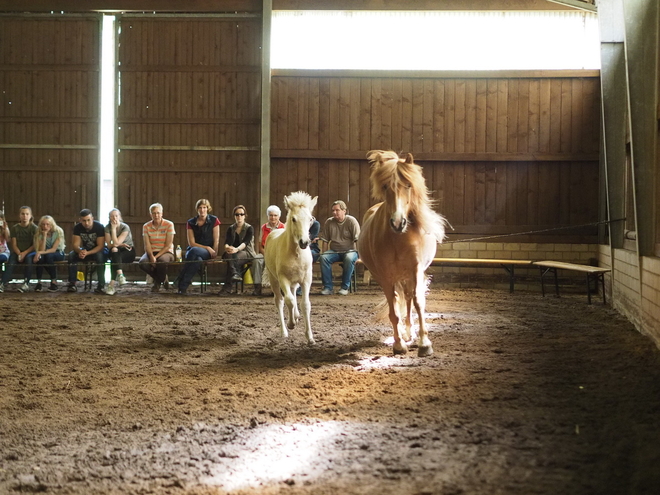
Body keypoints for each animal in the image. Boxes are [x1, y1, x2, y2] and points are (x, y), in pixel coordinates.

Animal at [262, 192, 318, 342]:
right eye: (293, 219)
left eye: (310, 219)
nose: (304, 242)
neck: (296, 253)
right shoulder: (283, 279)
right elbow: (289, 301)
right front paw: (291, 324)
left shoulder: (306, 279)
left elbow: (306, 304)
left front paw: (310, 337)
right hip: (274, 280)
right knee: (280, 301)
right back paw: (284, 331)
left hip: (294, 281)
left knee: (292, 293)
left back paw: (297, 316)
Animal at [358, 151, 446, 356]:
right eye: (385, 186)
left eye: (408, 185)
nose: (398, 223)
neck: (398, 238)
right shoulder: (385, 277)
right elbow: (393, 310)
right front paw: (398, 345)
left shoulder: (416, 269)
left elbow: (418, 302)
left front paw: (424, 343)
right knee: (401, 300)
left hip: (408, 276)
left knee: (409, 298)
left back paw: (410, 332)